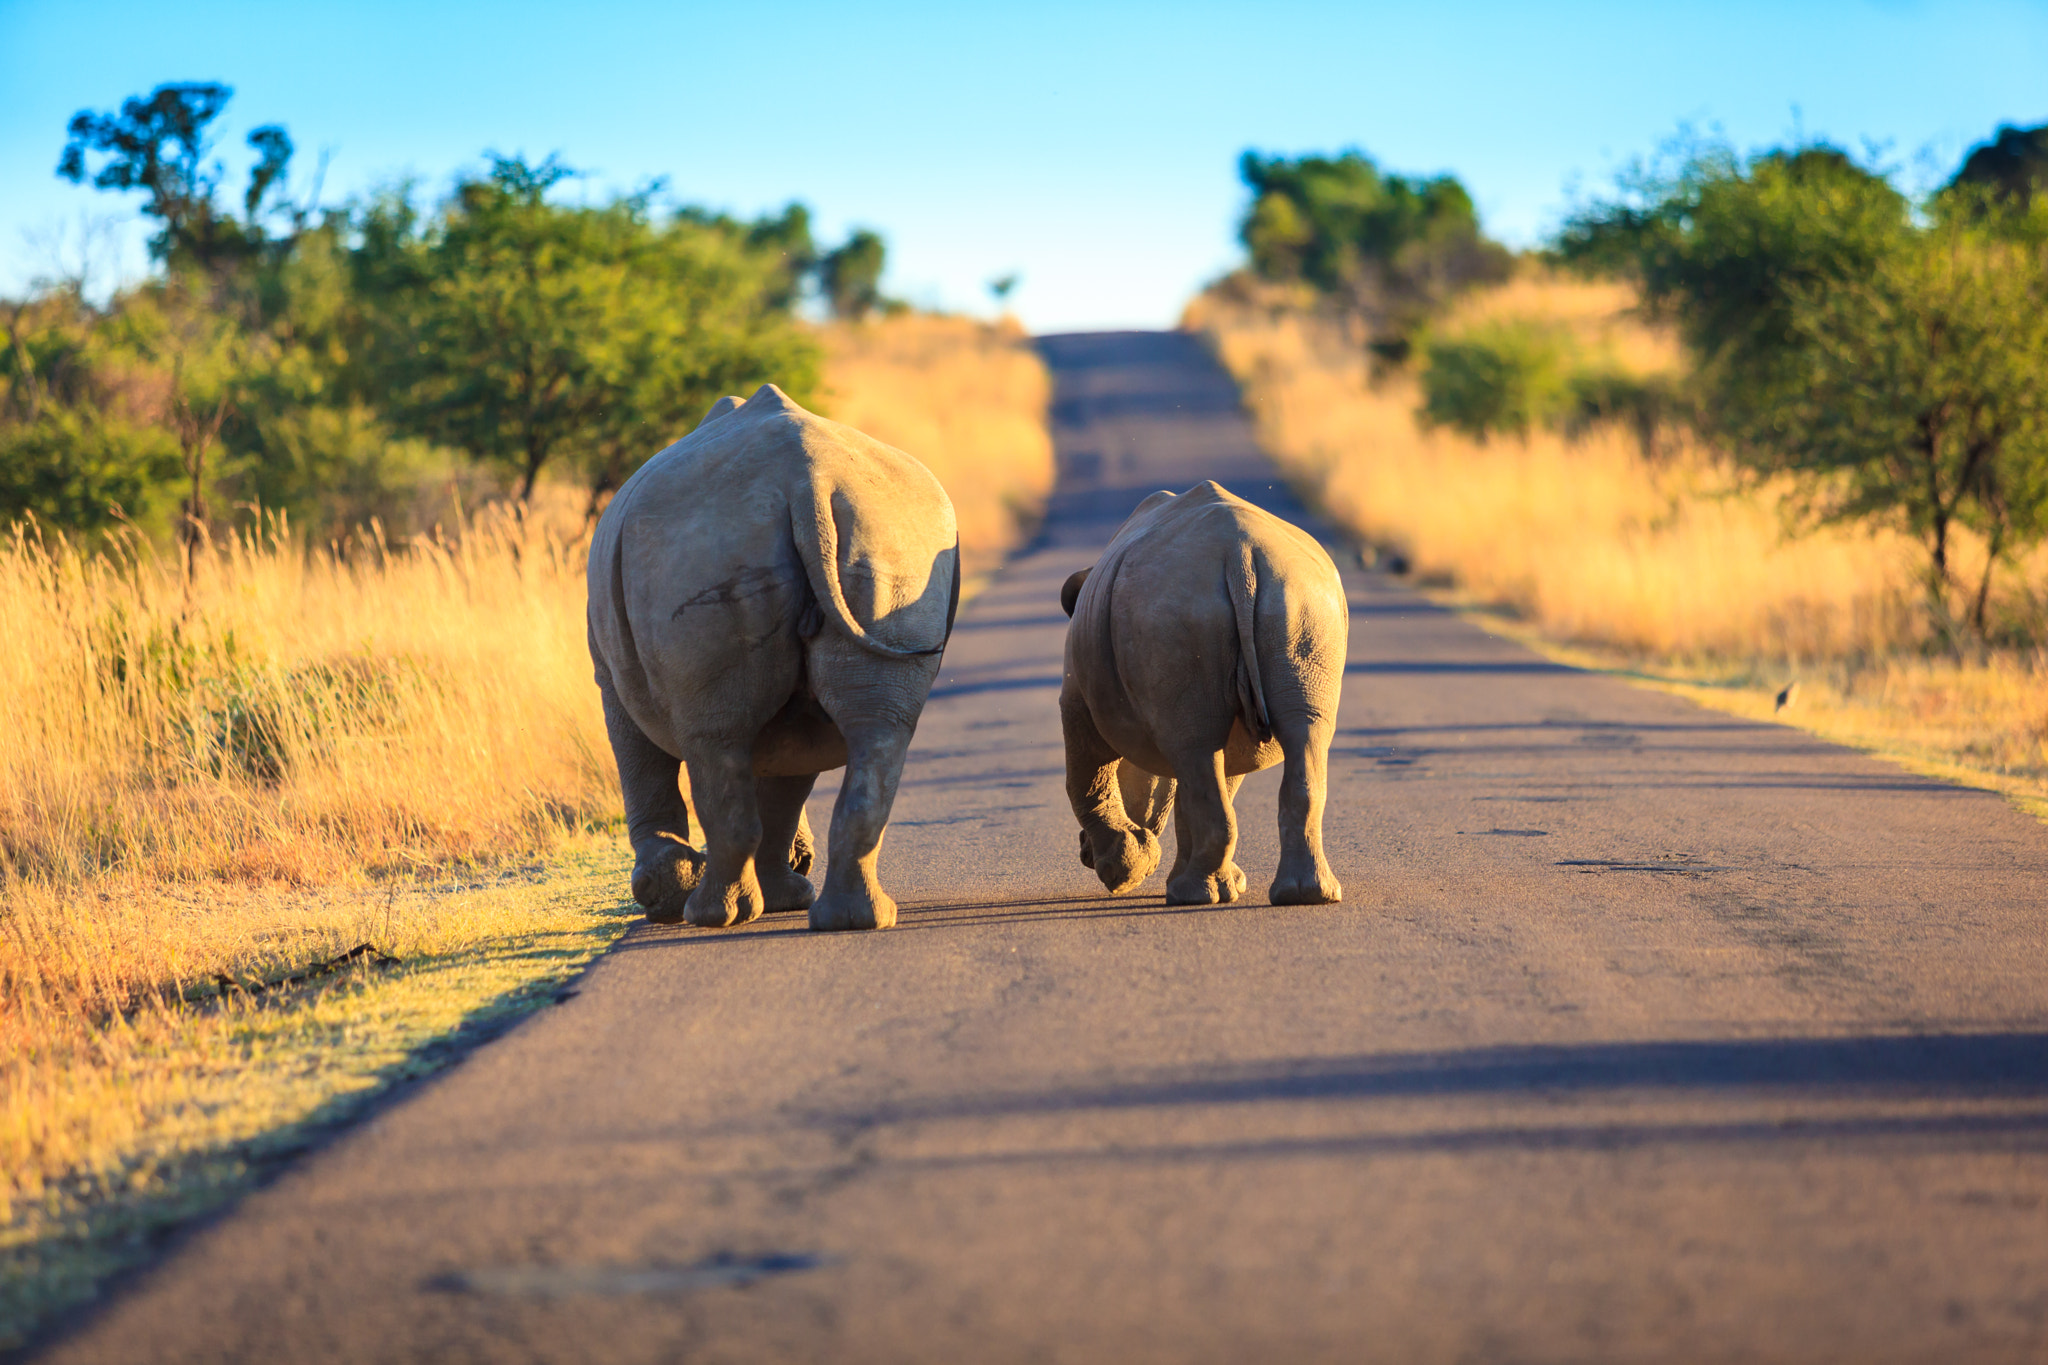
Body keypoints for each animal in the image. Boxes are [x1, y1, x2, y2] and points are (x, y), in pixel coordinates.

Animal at [581, 388, 954, 933]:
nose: (805, 859)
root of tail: (806, 479)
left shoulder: (607, 678)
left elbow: (642, 764)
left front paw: (660, 897)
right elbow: (783, 789)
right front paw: (785, 897)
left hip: (704, 550)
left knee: (714, 740)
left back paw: (709, 916)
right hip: (892, 538)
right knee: (879, 729)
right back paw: (856, 919)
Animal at [1064, 480, 1351, 908]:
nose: (1083, 853)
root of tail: (1239, 554)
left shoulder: (1080, 698)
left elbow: (1088, 773)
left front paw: (1124, 871)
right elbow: (1199, 788)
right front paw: (1222, 884)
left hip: (1177, 610)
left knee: (1198, 750)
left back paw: (1189, 896)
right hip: (1301, 602)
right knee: (1303, 733)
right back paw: (1306, 895)